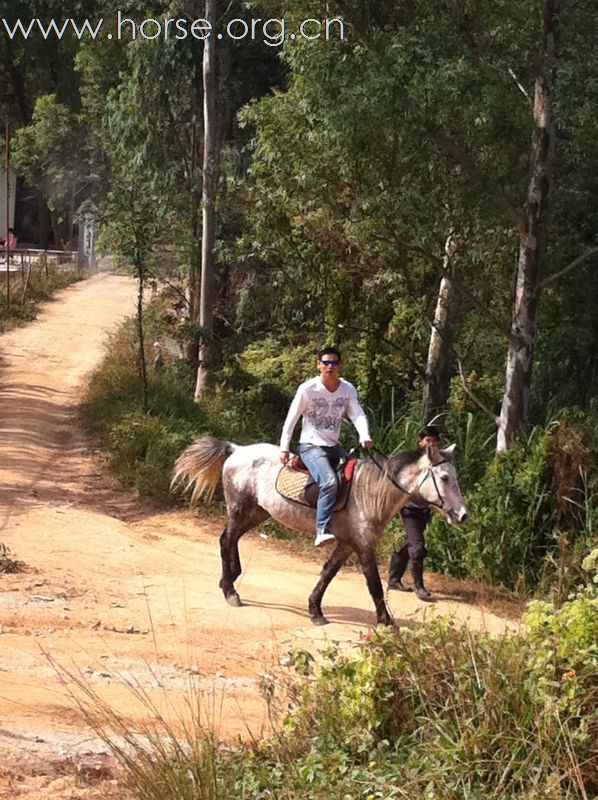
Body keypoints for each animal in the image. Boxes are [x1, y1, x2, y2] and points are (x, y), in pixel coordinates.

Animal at [173, 438, 468, 624]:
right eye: (444, 478)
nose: (463, 515)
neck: (370, 494)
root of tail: (237, 449)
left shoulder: (347, 544)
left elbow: (327, 574)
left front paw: (315, 609)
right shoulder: (364, 546)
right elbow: (374, 584)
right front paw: (386, 620)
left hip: (257, 512)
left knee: (232, 539)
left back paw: (230, 578)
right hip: (239, 509)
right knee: (226, 540)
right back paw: (230, 590)